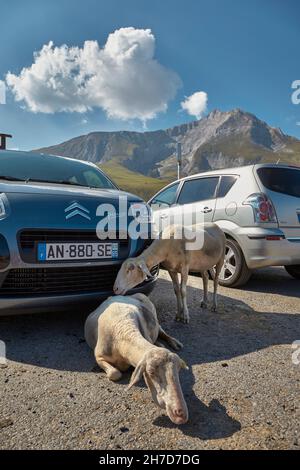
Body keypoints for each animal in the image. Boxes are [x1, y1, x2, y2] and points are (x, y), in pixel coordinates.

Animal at [84, 294, 188, 426]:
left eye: (178, 371)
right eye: (151, 373)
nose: (181, 414)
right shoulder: (99, 357)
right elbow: (115, 373)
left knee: (162, 331)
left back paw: (174, 343)